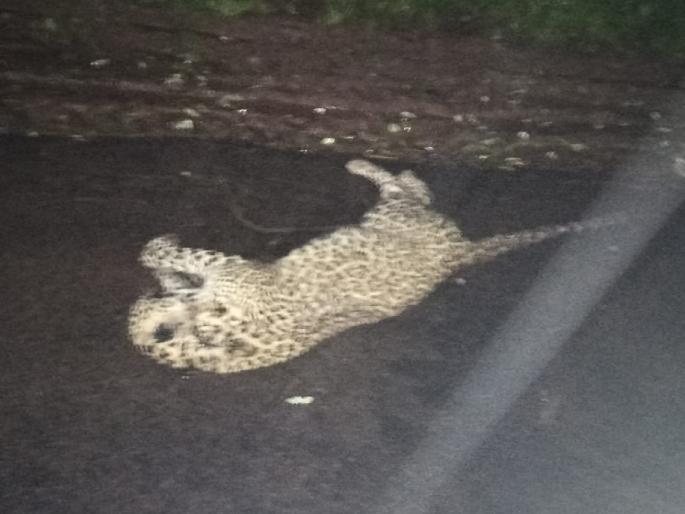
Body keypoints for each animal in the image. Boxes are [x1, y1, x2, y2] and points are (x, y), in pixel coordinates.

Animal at [128, 159, 609, 374]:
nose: (188, 300)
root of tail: (461, 252)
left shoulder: (231, 270)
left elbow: (154, 255)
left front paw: (165, 250)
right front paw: (170, 278)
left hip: (395, 214)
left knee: (410, 189)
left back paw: (366, 165)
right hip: (397, 216)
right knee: (414, 191)